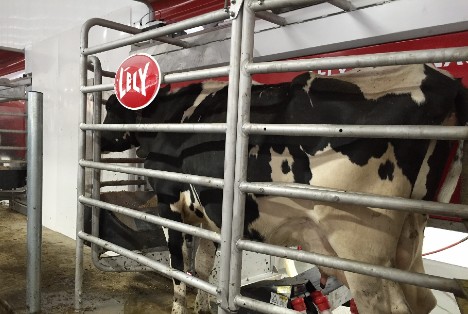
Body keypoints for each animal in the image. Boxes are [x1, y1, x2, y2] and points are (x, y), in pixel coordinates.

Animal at [100, 64, 466, 314]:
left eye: (110, 110)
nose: (98, 137)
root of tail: (442, 80)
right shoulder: (209, 214)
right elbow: (202, 267)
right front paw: (203, 305)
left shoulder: (169, 203)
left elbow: (179, 270)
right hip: (408, 236)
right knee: (423, 299)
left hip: (360, 243)